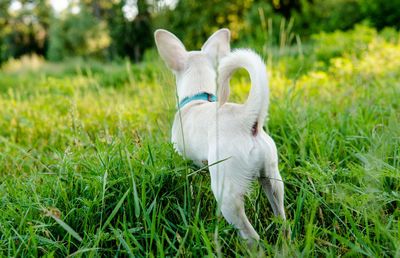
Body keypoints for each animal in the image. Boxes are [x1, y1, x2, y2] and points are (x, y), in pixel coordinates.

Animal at [155, 28, 286, 244]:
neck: (199, 96)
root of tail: (247, 119)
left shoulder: (185, 160)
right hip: (273, 181)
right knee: (283, 220)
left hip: (227, 194)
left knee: (252, 236)